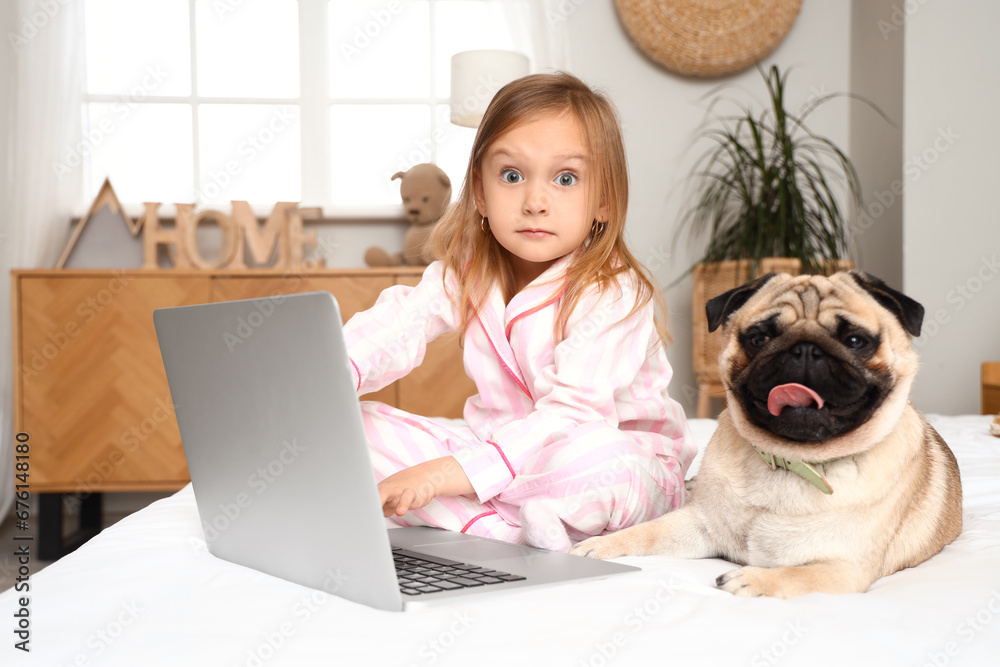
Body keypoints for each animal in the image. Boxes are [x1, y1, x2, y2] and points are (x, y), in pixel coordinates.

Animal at [572, 272, 960, 600]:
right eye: (758, 338)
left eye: (855, 341)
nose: (805, 349)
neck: (792, 461)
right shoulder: (698, 525)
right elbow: (648, 531)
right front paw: (602, 546)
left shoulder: (845, 570)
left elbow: (798, 575)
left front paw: (752, 578)